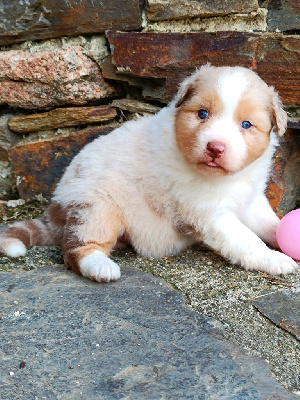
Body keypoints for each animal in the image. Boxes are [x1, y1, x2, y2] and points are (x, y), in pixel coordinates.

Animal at [0, 65, 298, 282]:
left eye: (246, 124)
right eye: (202, 114)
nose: (215, 147)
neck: (225, 178)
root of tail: (55, 206)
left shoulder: (251, 198)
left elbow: (270, 223)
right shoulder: (210, 215)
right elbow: (247, 240)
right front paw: (275, 260)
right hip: (96, 206)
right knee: (77, 248)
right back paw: (101, 268)